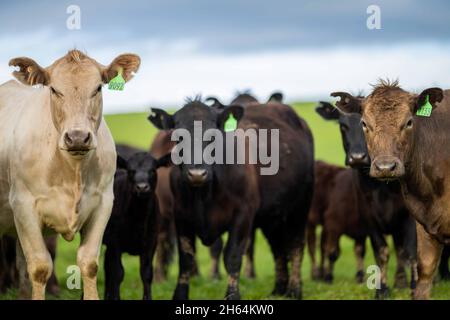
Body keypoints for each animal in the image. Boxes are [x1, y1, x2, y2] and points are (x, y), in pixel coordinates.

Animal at [0, 48, 141, 298]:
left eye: (98, 88)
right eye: (54, 89)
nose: (77, 137)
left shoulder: (103, 204)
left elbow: (89, 263)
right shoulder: (23, 206)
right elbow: (39, 267)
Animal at [102, 145, 171, 300]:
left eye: (153, 170)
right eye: (130, 170)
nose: (142, 187)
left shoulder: (151, 243)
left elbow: (146, 274)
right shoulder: (115, 243)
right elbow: (118, 273)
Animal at [316, 102, 418, 300]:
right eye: (342, 126)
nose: (357, 157)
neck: (383, 187)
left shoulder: (409, 217)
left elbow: (410, 252)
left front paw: (414, 287)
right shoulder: (369, 218)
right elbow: (381, 251)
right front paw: (382, 289)